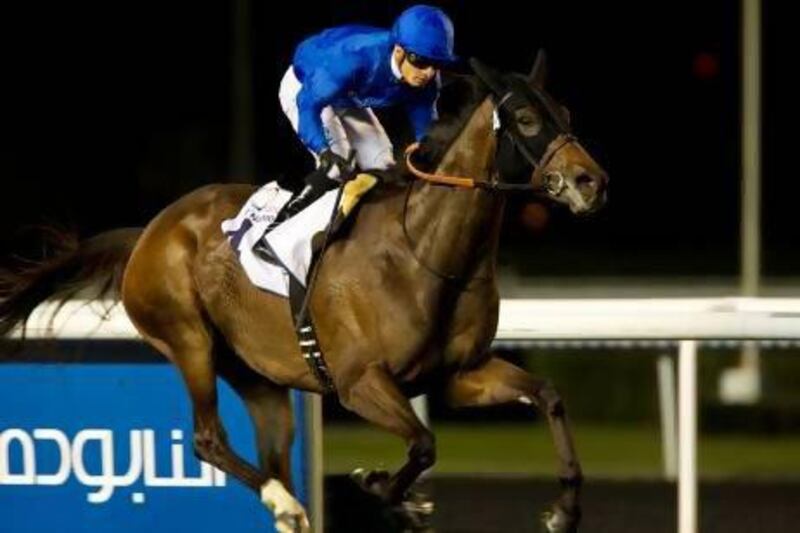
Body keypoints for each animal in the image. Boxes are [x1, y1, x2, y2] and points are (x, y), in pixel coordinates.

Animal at [1, 55, 608, 532]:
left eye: (567, 115)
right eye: (526, 118)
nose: (591, 182)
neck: (427, 253)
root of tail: (149, 232)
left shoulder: (458, 376)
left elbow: (548, 394)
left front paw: (564, 512)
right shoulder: (359, 382)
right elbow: (421, 444)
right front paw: (377, 486)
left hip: (261, 378)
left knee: (268, 451)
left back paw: (288, 504)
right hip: (188, 339)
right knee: (208, 440)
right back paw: (286, 504)